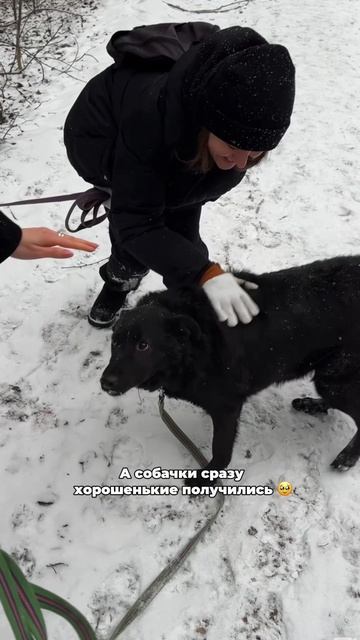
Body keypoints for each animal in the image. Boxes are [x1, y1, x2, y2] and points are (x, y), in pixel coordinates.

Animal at [100, 258, 360, 482]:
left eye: (143, 345)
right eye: (115, 342)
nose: (105, 382)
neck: (195, 348)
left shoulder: (227, 408)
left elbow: (221, 451)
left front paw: (206, 480)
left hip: (334, 378)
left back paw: (346, 457)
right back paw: (313, 405)